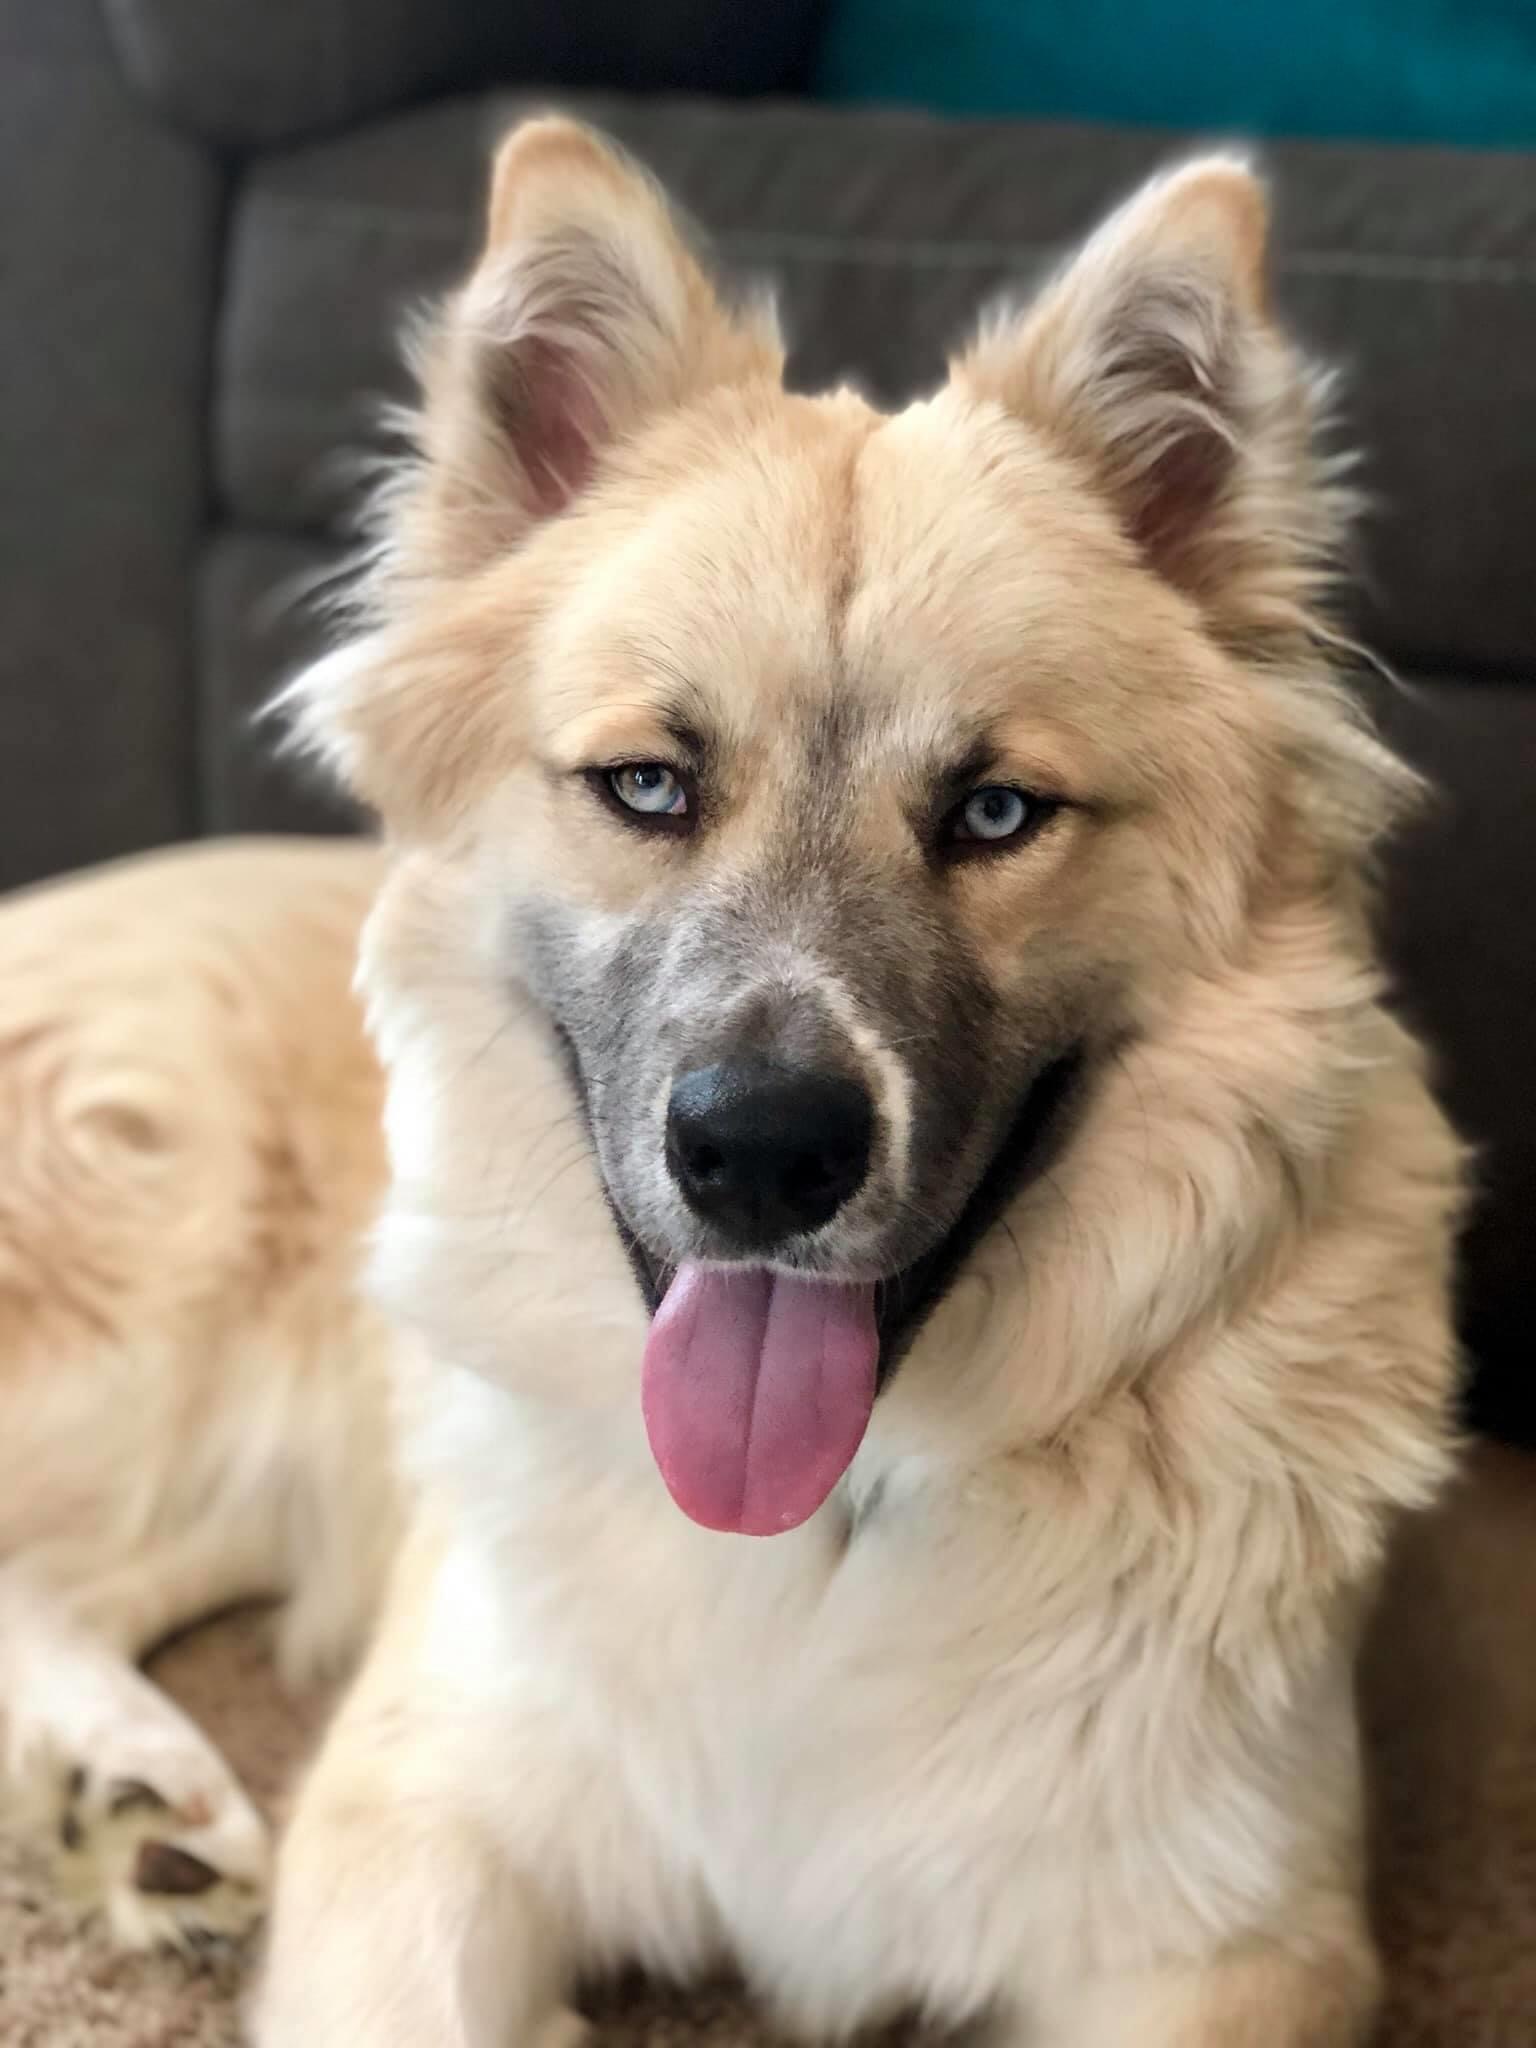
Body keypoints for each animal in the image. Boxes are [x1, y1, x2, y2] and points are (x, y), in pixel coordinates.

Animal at [3, 123, 1466, 2048]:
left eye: (996, 811)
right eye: (648, 784)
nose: (762, 1156)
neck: (822, 1522)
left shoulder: (1228, 1947)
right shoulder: (418, 1809)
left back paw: (132, 1805)